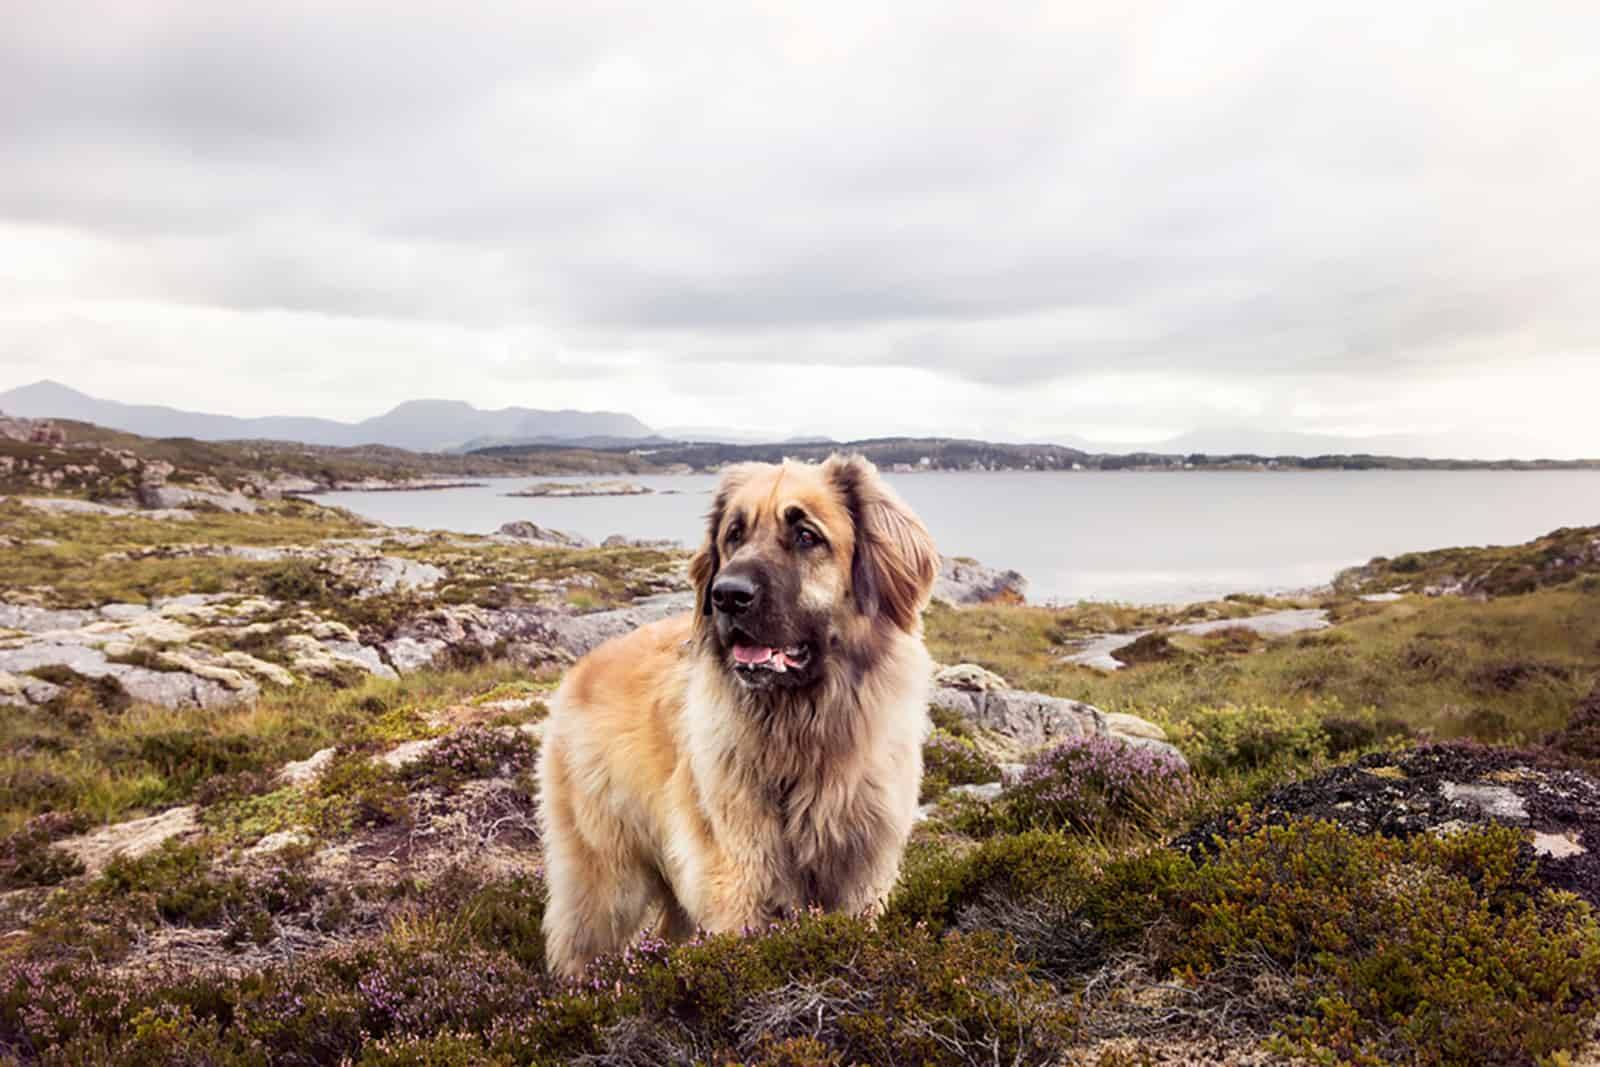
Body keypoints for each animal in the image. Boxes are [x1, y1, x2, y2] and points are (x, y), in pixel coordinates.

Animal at [537, 451, 934, 979]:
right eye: (733, 535)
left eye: (806, 535)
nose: (727, 595)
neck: (803, 730)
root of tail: (580, 669)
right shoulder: (740, 879)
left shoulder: (860, 879)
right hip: (607, 879)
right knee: (582, 946)